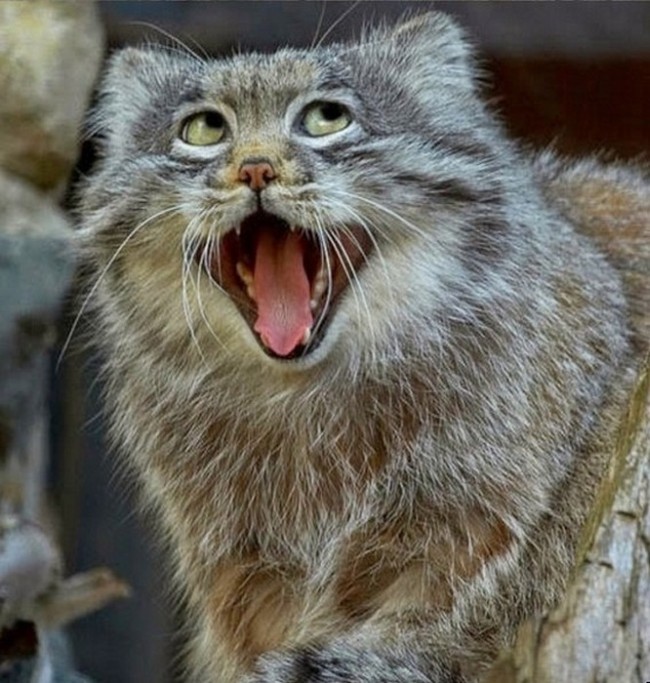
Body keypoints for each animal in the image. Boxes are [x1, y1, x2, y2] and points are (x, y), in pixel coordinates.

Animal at [74, 10, 644, 683]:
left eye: (326, 117)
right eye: (205, 129)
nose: (256, 168)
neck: (303, 407)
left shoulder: (472, 538)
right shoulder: (251, 577)